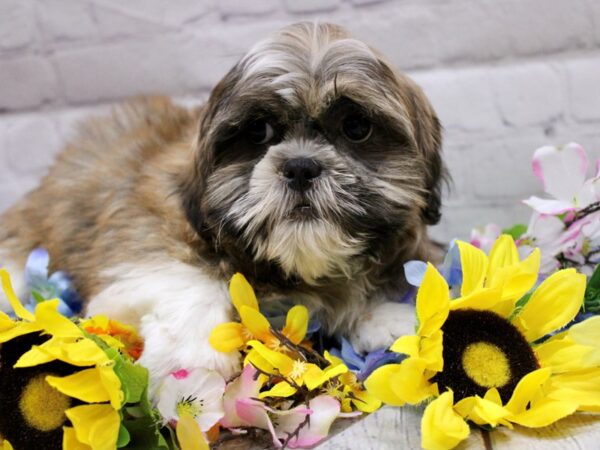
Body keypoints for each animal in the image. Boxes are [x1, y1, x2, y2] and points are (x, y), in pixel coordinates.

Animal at [0, 22, 446, 384]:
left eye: (356, 127)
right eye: (259, 131)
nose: (301, 167)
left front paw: (385, 313)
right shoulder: (141, 232)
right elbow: (186, 279)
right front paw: (194, 357)